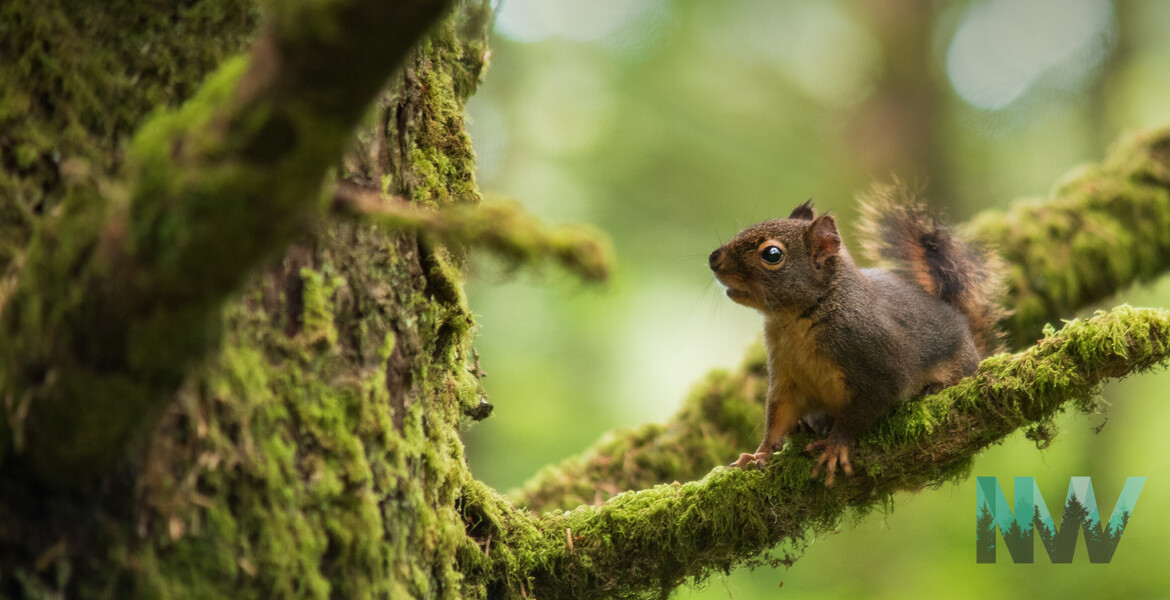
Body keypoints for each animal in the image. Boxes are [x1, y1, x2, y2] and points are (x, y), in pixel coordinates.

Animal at [708, 182, 1005, 486]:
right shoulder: (786, 376)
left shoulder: (877, 367)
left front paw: (834, 446)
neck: (795, 320)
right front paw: (760, 453)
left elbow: (861, 412)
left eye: (772, 255)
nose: (713, 259)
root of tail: (970, 338)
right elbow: (778, 416)